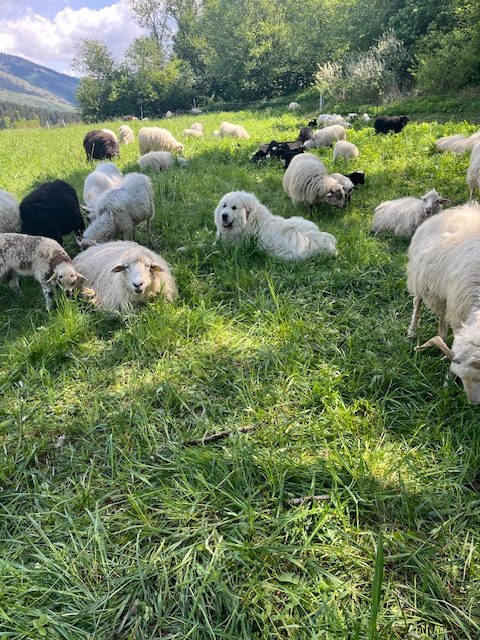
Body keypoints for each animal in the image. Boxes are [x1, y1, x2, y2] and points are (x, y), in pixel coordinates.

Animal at [406, 204, 480, 404]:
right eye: (461, 379)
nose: (473, 404)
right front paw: (447, 382)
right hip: (422, 278)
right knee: (418, 302)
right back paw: (412, 331)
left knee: (440, 315)